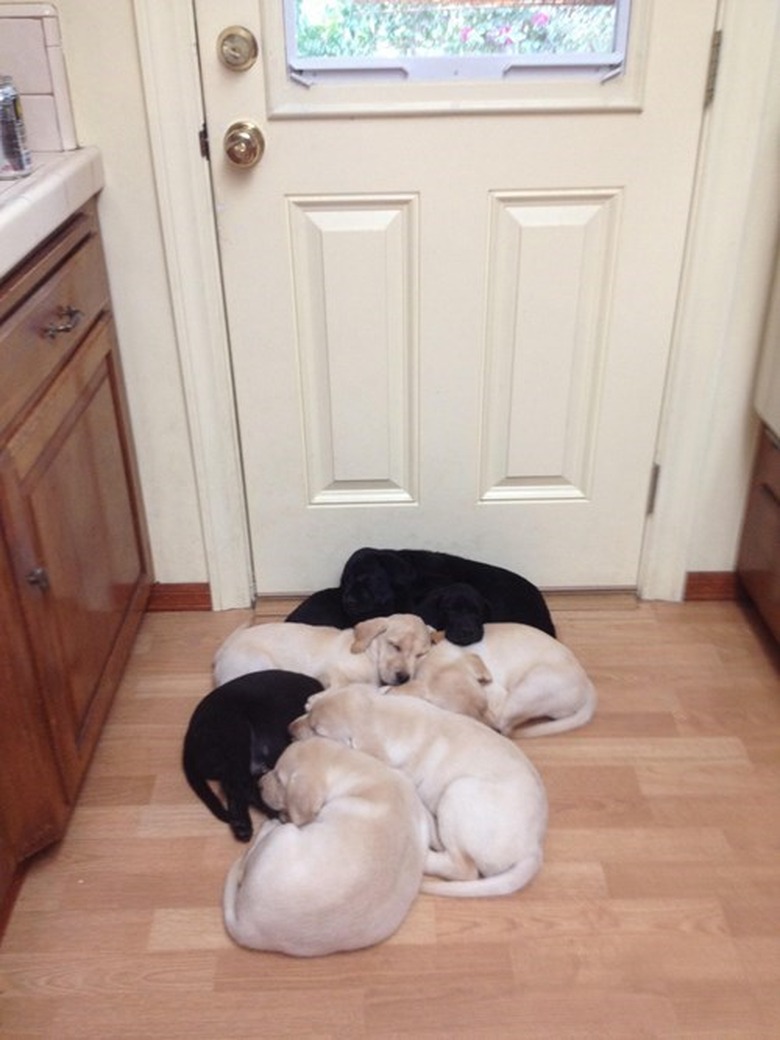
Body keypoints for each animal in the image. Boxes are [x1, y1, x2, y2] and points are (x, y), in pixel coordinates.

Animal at [183, 669, 324, 840]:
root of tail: (189, 737)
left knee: (234, 784)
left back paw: (242, 823)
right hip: (236, 732)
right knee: (239, 784)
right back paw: (257, 818)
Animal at [214, 615, 434, 690]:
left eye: (420, 655)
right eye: (395, 645)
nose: (404, 678)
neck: (370, 656)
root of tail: (222, 651)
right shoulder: (331, 672)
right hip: (260, 664)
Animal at [220, 736, 430, 952]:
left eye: (279, 778)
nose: (260, 784)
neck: (361, 770)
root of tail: (246, 927)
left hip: (282, 836)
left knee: (245, 864)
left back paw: (270, 824)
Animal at [291, 686, 549, 898]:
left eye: (317, 731)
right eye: (309, 714)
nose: (288, 729)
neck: (384, 716)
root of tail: (532, 850)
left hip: (457, 792)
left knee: (464, 868)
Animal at [397, 619, 599, 736]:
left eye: (485, 705)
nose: (494, 731)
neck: (436, 661)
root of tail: (589, 689)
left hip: (525, 693)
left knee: (508, 722)